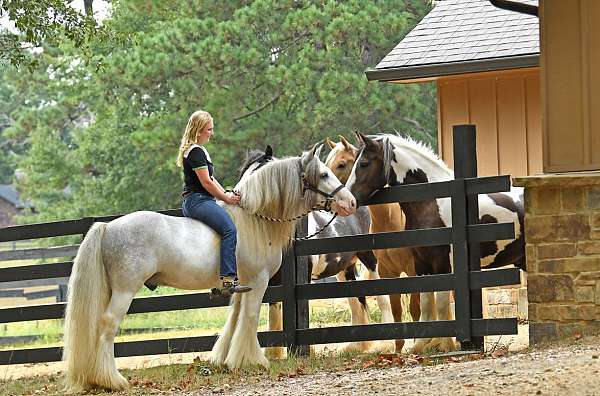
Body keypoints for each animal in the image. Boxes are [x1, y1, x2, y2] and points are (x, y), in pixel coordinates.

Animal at [62, 146, 356, 392]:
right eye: (324, 174)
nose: (351, 202)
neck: (254, 220)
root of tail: (108, 227)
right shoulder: (258, 280)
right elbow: (250, 317)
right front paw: (252, 361)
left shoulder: (241, 284)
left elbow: (235, 318)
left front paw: (226, 359)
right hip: (124, 291)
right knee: (107, 326)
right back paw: (112, 380)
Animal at [237, 146, 396, 358]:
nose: (349, 202)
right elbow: (274, 312)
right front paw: (274, 353)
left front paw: (303, 350)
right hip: (345, 269)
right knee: (357, 300)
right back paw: (357, 345)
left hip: (368, 256)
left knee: (380, 294)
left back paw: (386, 342)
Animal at [326, 137, 420, 352]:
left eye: (341, 164)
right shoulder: (348, 267)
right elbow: (355, 300)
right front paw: (356, 344)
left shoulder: (373, 260)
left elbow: (383, 298)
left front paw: (385, 342)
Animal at [346, 132, 524, 352]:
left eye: (363, 163)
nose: (349, 200)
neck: (432, 203)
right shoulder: (422, 264)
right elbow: (426, 305)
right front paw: (420, 346)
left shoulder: (443, 265)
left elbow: (441, 305)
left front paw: (446, 346)